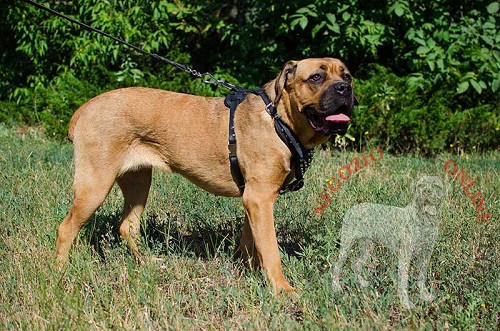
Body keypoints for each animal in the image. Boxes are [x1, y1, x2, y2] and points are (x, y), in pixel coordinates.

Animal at [55, 57, 356, 296]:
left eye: (347, 75)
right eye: (316, 77)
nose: (345, 89)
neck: (279, 120)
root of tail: (84, 109)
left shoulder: (253, 201)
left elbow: (251, 244)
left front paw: (248, 273)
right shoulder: (260, 199)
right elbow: (271, 250)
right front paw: (283, 290)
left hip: (138, 181)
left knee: (127, 226)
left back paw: (148, 264)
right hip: (95, 184)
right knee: (66, 229)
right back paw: (61, 272)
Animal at [332, 176, 446, 308]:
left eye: (436, 186)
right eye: (420, 185)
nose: (426, 192)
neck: (425, 220)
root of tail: (351, 209)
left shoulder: (426, 253)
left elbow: (422, 276)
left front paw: (425, 295)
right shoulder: (405, 255)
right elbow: (403, 280)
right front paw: (406, 304)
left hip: (367, 246)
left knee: (357, 263)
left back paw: (362, 283)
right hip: (346, 245)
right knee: (337, 265)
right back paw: (336, 287)